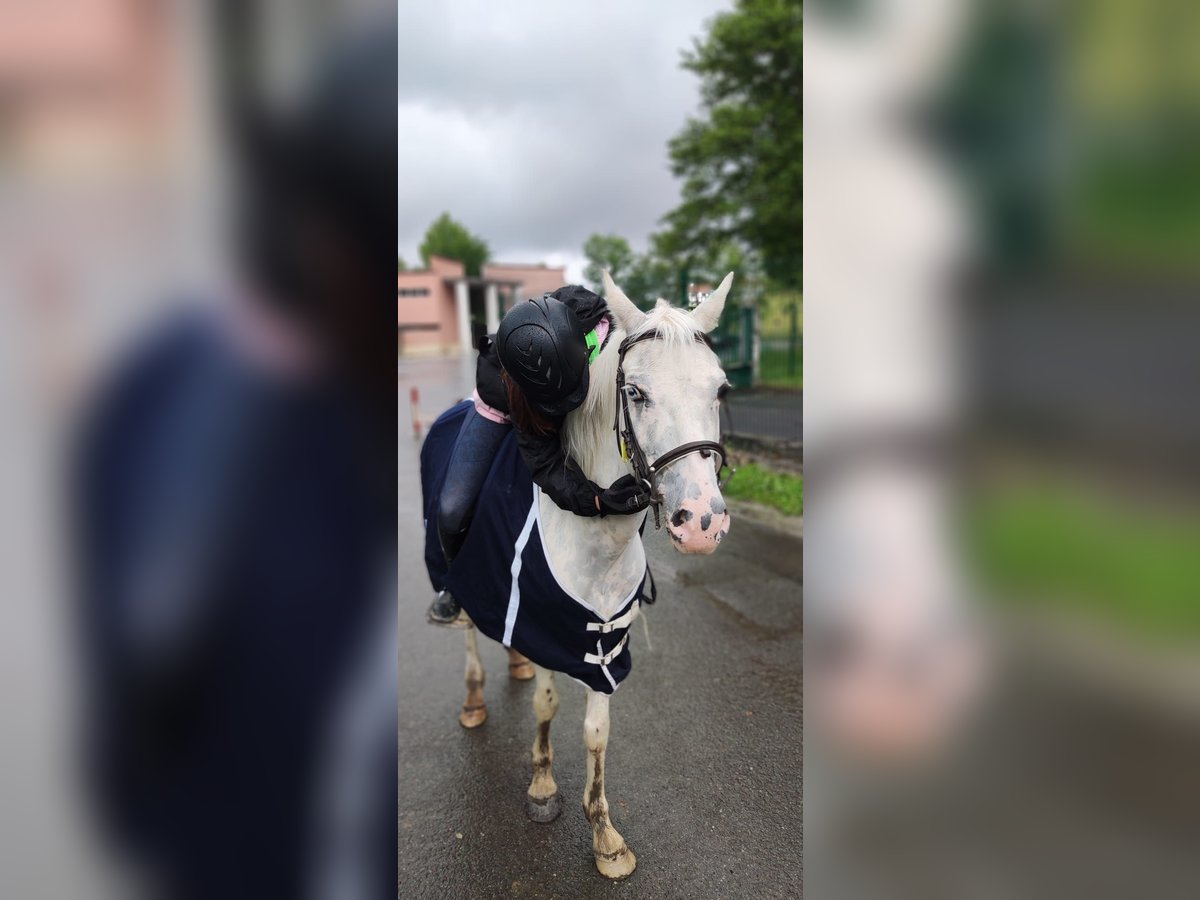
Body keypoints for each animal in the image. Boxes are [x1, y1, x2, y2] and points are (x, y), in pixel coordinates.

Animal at [456, 271, 729, 878]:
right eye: (636, 393)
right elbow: (546, 706)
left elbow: (597, 733)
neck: (597, 543)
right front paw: (541, 786)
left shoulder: (602, 642)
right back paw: (474, 699)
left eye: (720, 390)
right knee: (466, 629)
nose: (702, 521)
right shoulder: (544, 624)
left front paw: (605, 836)